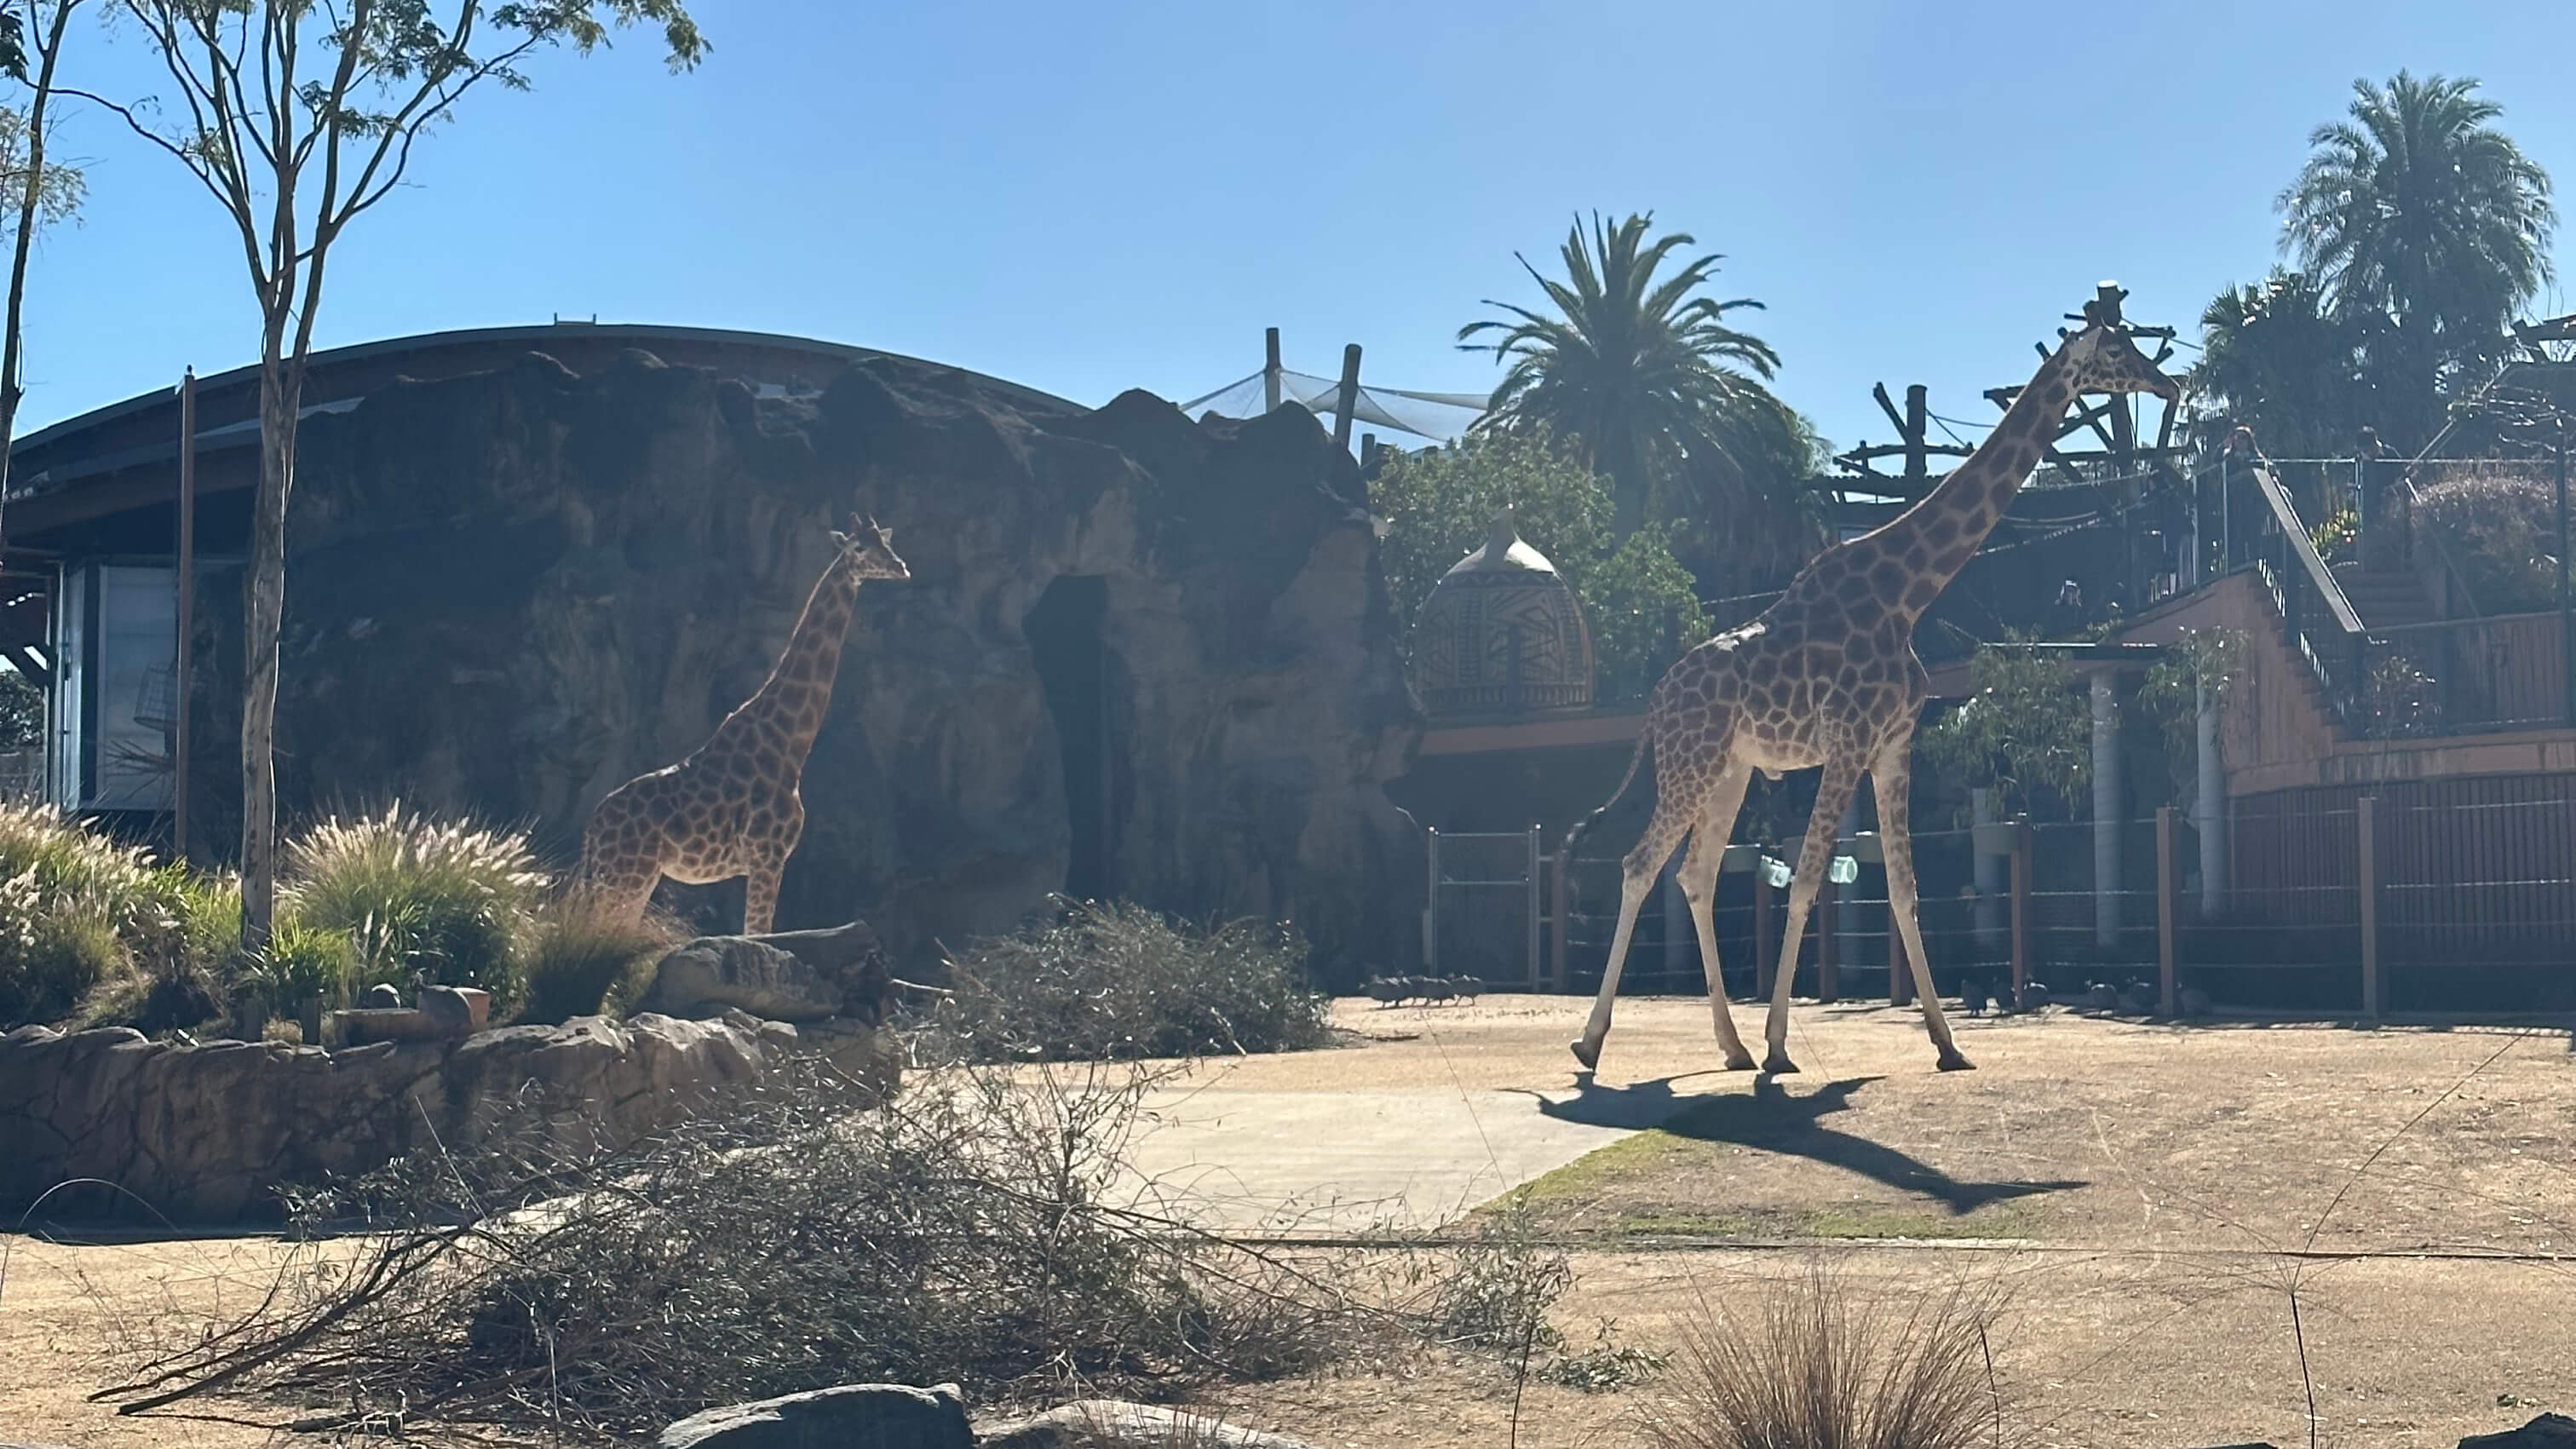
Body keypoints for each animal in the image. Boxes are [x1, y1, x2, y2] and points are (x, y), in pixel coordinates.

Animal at [577, 513, 917, 928]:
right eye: (859, 547)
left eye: (885, 542)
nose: (901, 568)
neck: (790, 744)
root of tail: (592, 829)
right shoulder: (767, 855)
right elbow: (756, 933)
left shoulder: (766, 859)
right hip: (625, 874)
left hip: (631, 876)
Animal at [1555, 304, 2184, 1072]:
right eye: (2118, 351)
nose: (2169, 382)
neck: (1907, 593)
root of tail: (1653, 703)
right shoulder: (1851, 741)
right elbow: (1806, 881)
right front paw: (1781, 1046)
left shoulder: (1893, 745)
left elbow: (1906, 890)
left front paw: (1947, 1043)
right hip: (1689, 764)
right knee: (1641, 864)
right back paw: (1591, 1042)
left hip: (1729, 770)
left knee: (1696, 875)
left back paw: (1730, 1046)